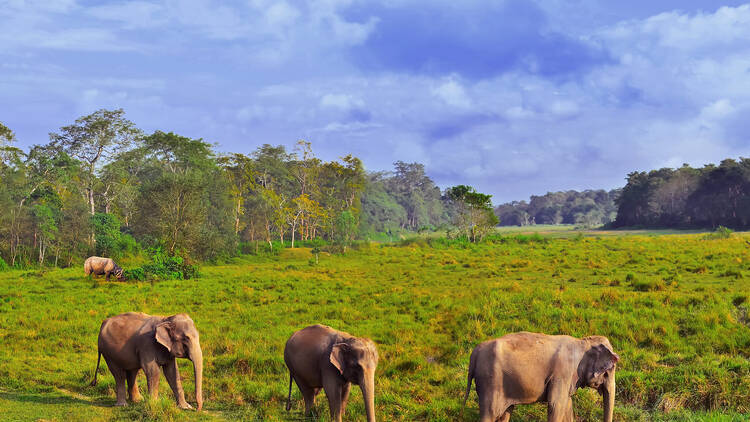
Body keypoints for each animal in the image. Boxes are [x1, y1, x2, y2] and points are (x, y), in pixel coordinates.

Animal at [464, 332, 624, 422]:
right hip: (490, 381)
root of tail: (475, 352)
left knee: (505, 413)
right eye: (609, 370)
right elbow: (555, 405)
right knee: (490, 414)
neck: (583, 342)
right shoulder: (562, 373)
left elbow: (567, 406)